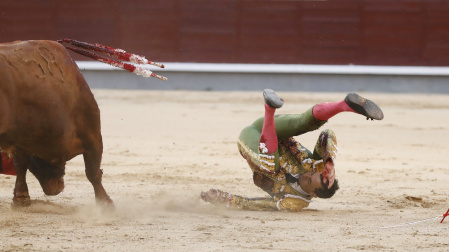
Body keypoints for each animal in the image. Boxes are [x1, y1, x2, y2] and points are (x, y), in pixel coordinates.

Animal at [0, 40, 112, 207]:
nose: (54, 190)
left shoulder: (19, 138)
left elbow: (20, 164)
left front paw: (21, 198)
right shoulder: (91, 132)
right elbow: (93, 171)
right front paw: (106, 203)